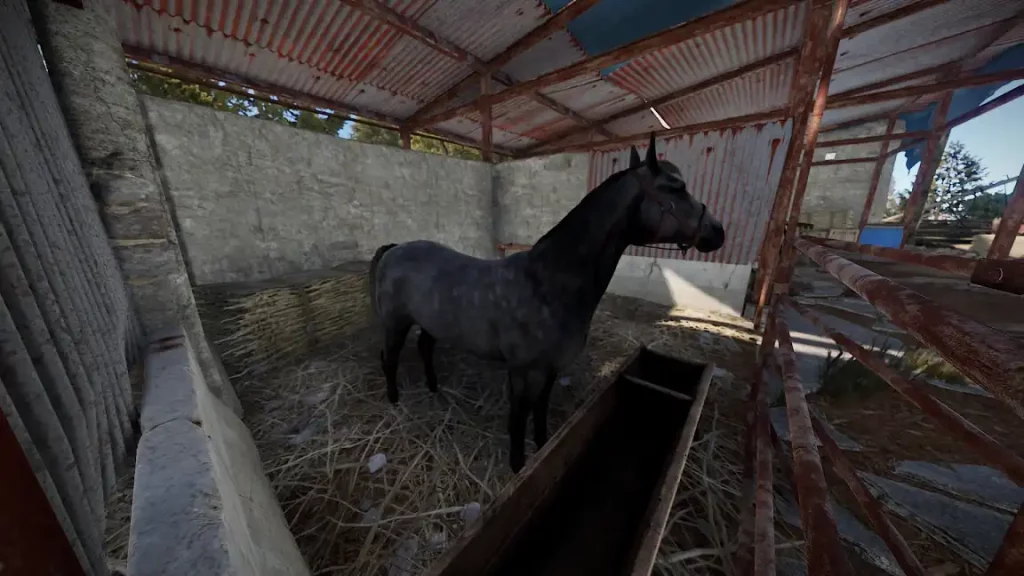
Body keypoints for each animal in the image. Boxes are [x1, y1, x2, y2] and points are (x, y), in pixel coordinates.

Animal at [372, 134, 724, 471]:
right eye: (674, 188)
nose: (718, 231)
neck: (548, 284)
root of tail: (395, 248)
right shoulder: (522, 371)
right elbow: (518, 418)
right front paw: (518, 466)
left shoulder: (551, 368)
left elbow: (540, 409)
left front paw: (542, 446)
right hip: (394, 323)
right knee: (390, 358)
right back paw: (394, 400)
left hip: (430, 323)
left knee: (425, 349)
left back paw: (434, 389)